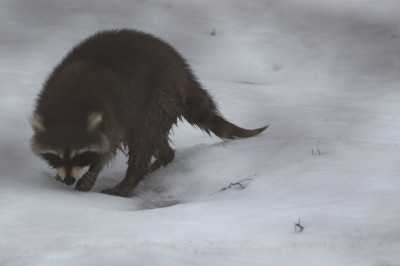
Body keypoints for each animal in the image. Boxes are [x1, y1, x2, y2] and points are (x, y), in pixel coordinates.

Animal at [29, 29, 268, 197]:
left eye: (80, 154)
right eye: (56, 155)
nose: (69, 180)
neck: (68, 107)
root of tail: (184, 72)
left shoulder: (113, 116)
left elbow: (108, 149)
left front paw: (91, 172)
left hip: (157, 98)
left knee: (143, 138)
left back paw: (131, 179)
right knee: (155, 139)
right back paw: (162, 158)